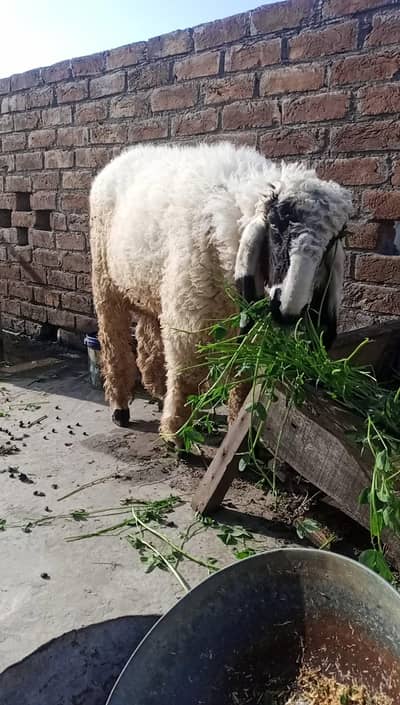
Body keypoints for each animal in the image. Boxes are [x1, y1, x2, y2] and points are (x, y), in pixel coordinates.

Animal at [90, 142, 352, 443]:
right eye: (275, 225)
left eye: (334, 239)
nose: (287, 309)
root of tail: (125, 155)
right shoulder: (188, 324)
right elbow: (186, 377)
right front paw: (176, 435)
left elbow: (243, 381)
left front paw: (241, 432)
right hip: (105, 282)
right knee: (113, 343)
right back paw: (120, 407)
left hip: (148, 284)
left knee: (147, 333)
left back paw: (157, 389)